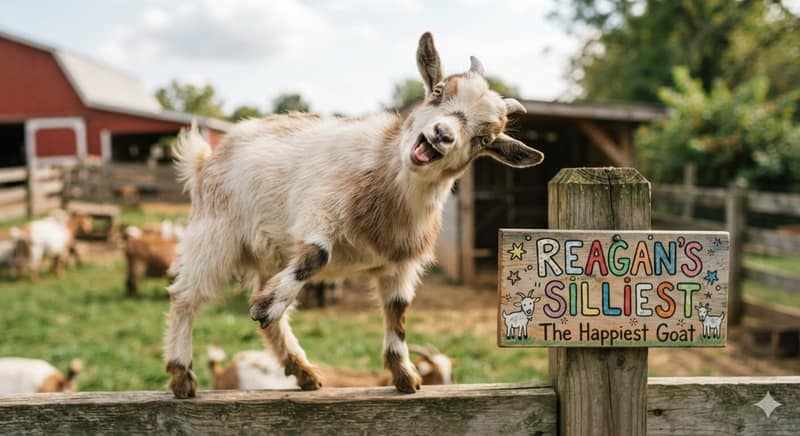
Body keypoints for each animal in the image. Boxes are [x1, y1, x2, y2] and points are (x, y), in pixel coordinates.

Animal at [164, 32, 543, 397]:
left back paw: (302, 369)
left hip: (270, 255)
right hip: (215, 234)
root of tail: (206, 159)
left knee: (271, 317)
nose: (441, 135)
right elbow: (317, 255)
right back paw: (183, 374)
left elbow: (397, 311)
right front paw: (266, 306)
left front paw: (404, 375)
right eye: (438, 91)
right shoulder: (319, 212)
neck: (387, 177)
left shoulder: (401, 263)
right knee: (185, 296)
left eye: (485, 139)